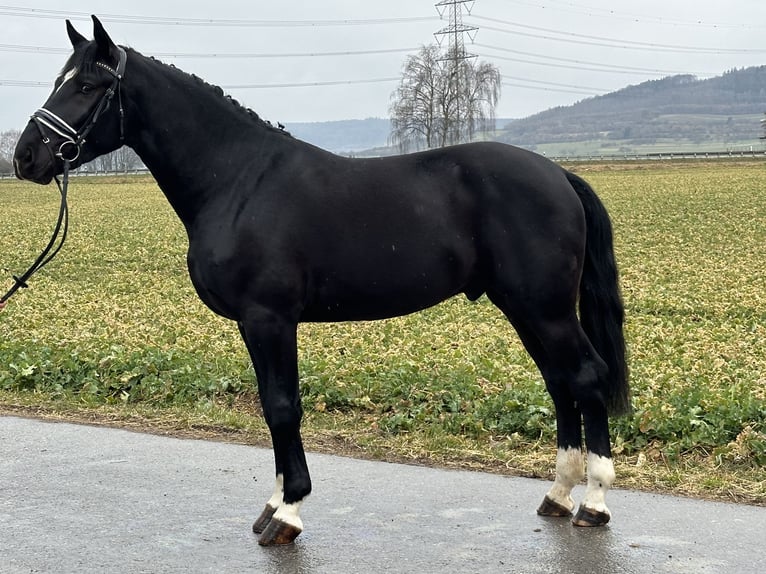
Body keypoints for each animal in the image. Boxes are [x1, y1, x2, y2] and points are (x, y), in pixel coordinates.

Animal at [13, 16, 632, 548]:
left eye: (89, 85)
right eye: (58, 80)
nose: (25, 157)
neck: (239, 181)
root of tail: (558, 174)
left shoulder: (270, 318)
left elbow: (283, 406)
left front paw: (288, 513)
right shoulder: (253, 324)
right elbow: (269, 406)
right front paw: (273, 503)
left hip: (545, 309)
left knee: (586, 377)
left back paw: (594, 502)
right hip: (526, 308)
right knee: (561, 384)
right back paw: (558, 493)